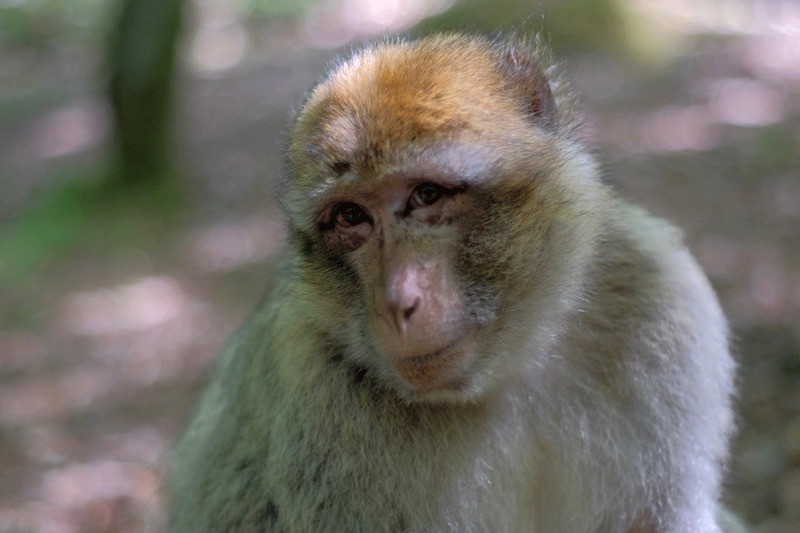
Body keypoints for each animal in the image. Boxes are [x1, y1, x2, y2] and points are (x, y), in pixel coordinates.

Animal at [167, 34, 736, 532]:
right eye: (350, 216)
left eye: (427, 195)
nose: (397, 302)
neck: (509, 371)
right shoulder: (314, 385)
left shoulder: (654, 299)